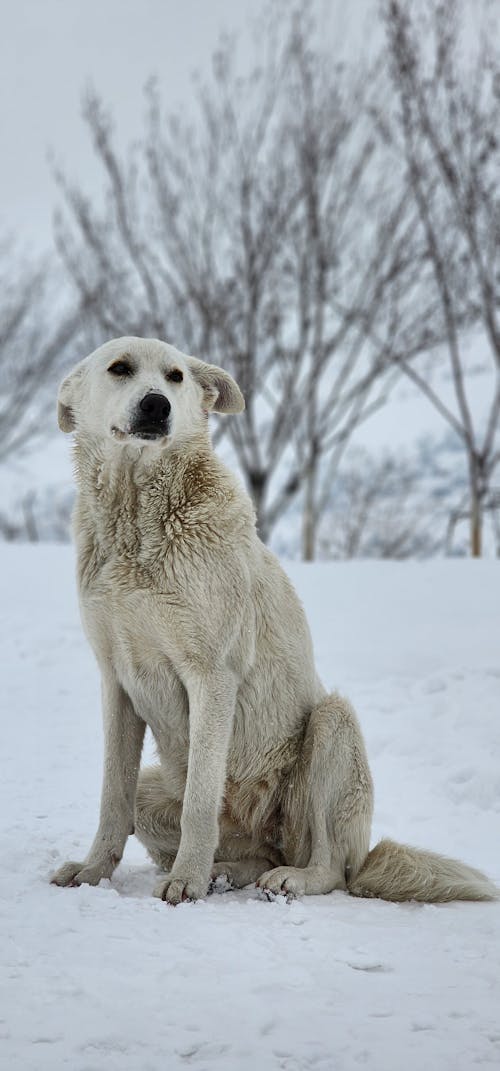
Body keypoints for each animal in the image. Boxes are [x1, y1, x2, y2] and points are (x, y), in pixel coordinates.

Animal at [50, 336, 496, 903]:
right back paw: (225, 873)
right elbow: (112, 798)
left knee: (328, 866)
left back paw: (284, 878)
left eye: (175, 376)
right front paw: (92, 872)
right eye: (120, 369)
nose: (156, 405)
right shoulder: (117, 684)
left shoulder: (212, 676)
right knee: (237, 846)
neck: (136, 521)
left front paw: (185, 882)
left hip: (331, 727)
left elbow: (199, 802)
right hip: (157, 789)